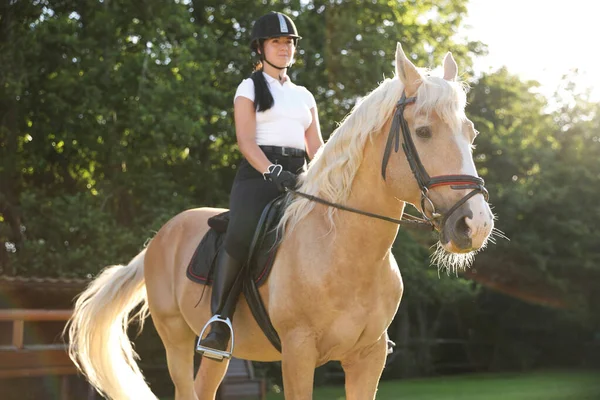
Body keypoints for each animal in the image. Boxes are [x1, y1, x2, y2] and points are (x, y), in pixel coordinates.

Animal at [68, 42, 494, 398]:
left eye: (470, 132)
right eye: (423, 131)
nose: (476, 225)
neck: (343, 251)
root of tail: (160, 238)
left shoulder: (367, 359)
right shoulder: (298, 353)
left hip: (216, 354)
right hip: (177, 341)